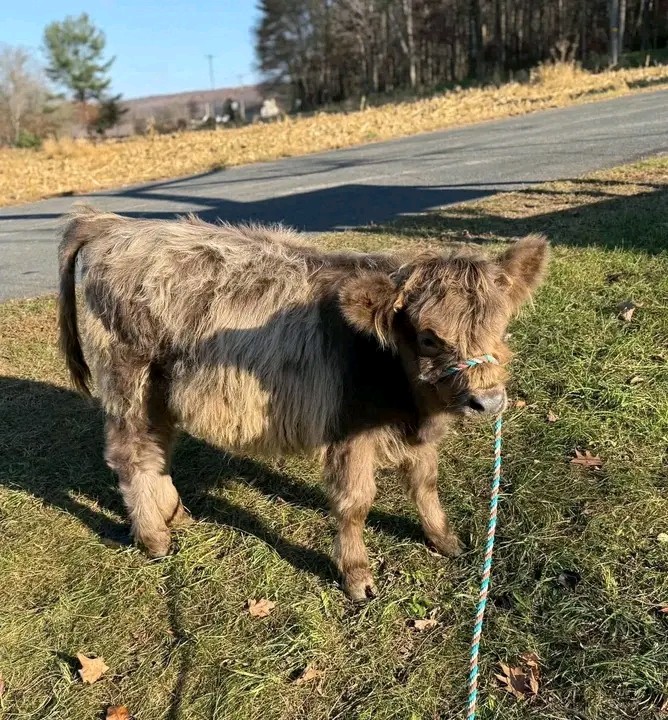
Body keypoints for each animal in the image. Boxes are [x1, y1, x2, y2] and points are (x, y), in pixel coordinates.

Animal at [58, 206, 548, 600]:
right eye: (429, 337)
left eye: (501, 325)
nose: (488, 400)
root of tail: (115, 224)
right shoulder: (350, 433)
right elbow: (356, 502)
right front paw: (357, 576)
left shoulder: (417, 434)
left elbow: (425, 483)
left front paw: (445, 540)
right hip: (129, 381)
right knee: (131, 455)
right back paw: (154, 538)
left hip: (160, 391)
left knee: (156, 449)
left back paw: (176, 516)